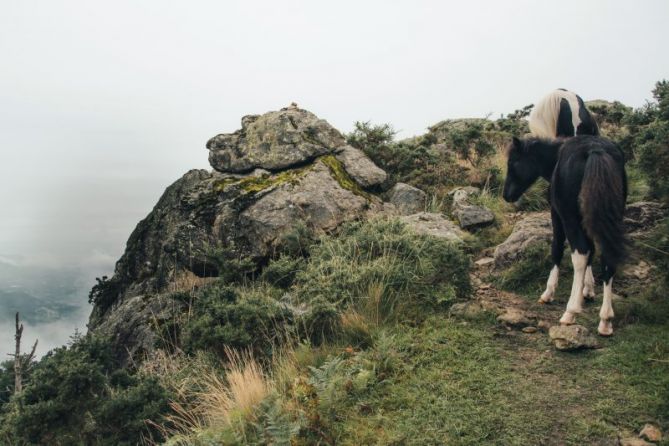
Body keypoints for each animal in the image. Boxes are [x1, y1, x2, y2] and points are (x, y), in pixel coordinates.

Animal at [500, 135, 628, 334]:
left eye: (512, 161)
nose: (506, 195)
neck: (555, 158)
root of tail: (595, 149)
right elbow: (592, 251)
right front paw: (588, 289)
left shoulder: (557, 214)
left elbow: (557, 248)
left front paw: (548, 292)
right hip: (611, 217)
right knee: (607, 256)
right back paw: (605, 320)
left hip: (570, 218)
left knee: (580, 254)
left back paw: (571, 311)